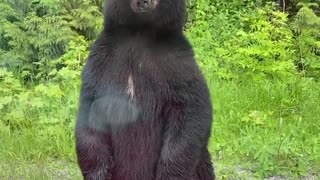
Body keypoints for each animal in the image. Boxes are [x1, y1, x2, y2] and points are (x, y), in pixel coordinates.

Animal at [74, 0, 215, 179]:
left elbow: (190, 112)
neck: (140, 32)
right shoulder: (102, 62)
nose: (143, 2)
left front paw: (169, 173)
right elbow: (91, 112)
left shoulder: (178, 65)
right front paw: (99, 172)